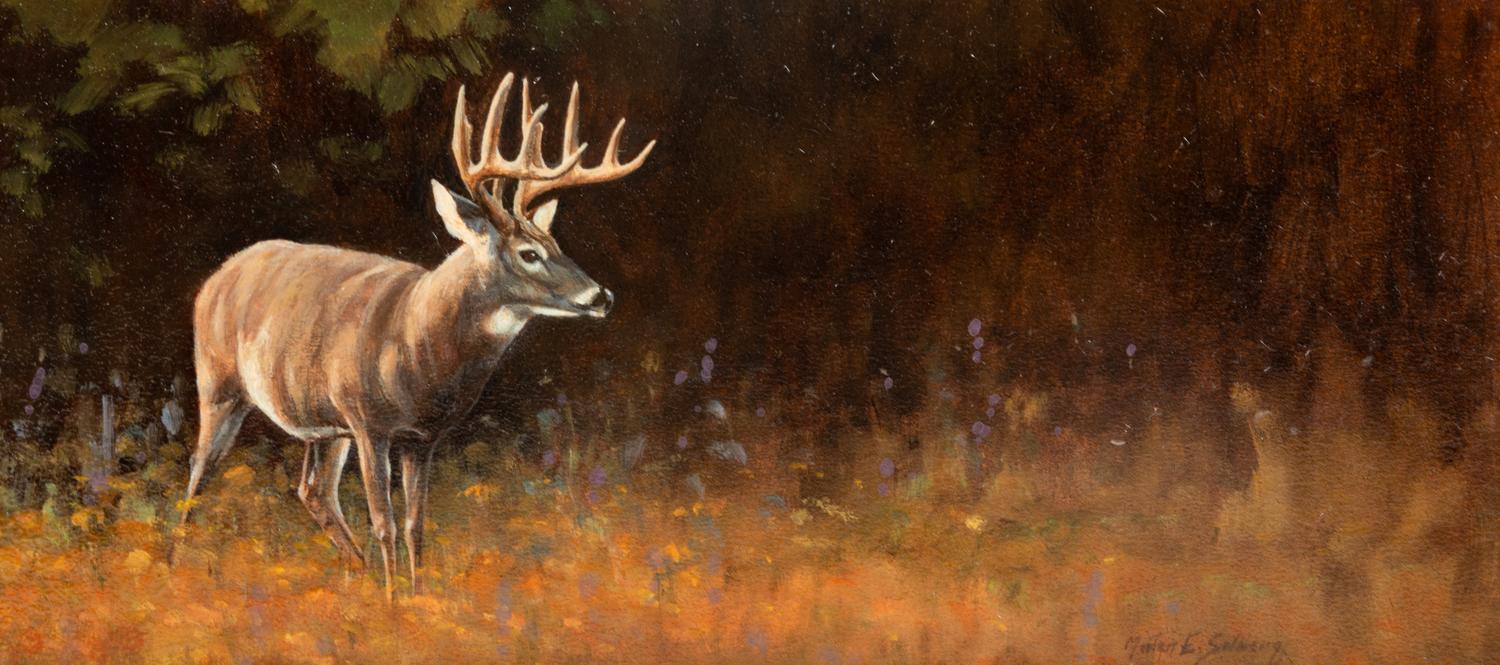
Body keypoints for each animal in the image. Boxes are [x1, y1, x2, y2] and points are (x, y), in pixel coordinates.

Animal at [176, 72, 654, 597]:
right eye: (529, 253)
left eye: (557, 243)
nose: (600, 296)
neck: (419, 347)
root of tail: (216, 277)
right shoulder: (369, 421)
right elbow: (384, 521)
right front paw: (392, 600)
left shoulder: (422, 438)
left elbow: (414, 525)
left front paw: (417, 595)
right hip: (220, 382)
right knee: (198, 474)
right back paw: (176, 562)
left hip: (322, 422)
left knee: (313, 491)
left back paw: (357, 572)